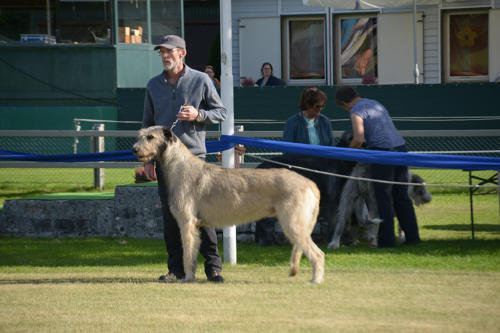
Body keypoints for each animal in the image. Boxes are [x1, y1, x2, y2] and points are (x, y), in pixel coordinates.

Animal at [133, 126, 324, 282]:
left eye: (150, 137)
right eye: (140, 135)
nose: (134, 149)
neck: (179, 164)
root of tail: (310, 184)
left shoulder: (187, 222)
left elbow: (187, 254)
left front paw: (187, 278)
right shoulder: (195, 225)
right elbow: (192, 253)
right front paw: (190, 276)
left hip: (293, 223)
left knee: (318, 254)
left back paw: (315, 280)